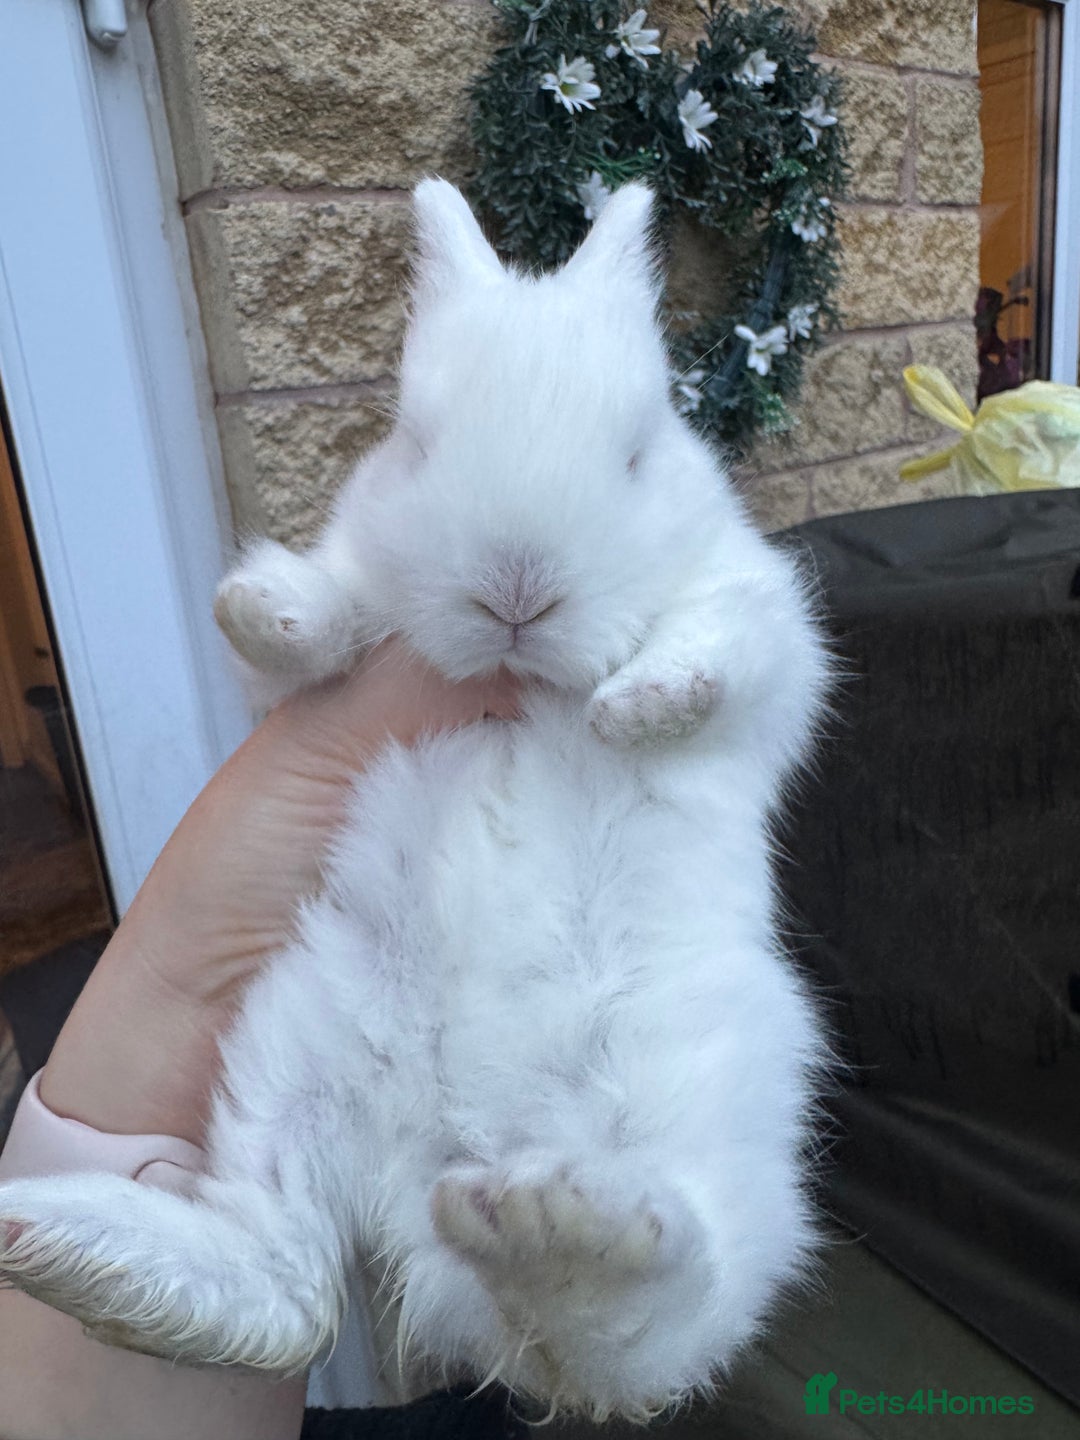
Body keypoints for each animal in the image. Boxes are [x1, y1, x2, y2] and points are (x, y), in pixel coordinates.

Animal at [0, 180, 832, 1421]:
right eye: (414, 441)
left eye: (639, 455)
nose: (515, 589)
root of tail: (445, 1173)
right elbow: (322, 629)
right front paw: (267, 609)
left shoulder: (766, 617)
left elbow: (722, 651)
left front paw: (634, 708)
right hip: (303, 1040)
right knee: (285, 1282)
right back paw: (61, 1247)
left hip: (708, 1095)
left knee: (646, 1339)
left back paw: (564, 1243)